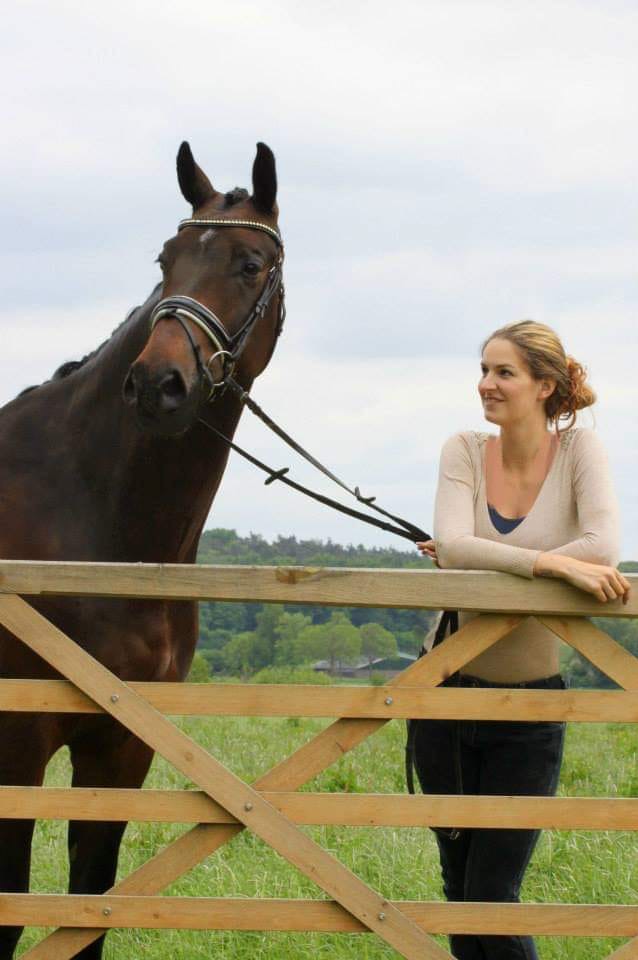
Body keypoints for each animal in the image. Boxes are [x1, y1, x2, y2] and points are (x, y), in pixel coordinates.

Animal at [0, 139, 284, 956]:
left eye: (250, 263)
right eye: (166, 259)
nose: (158, 383)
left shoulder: (120, 749)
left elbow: (89, 909)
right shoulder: (17, 744)